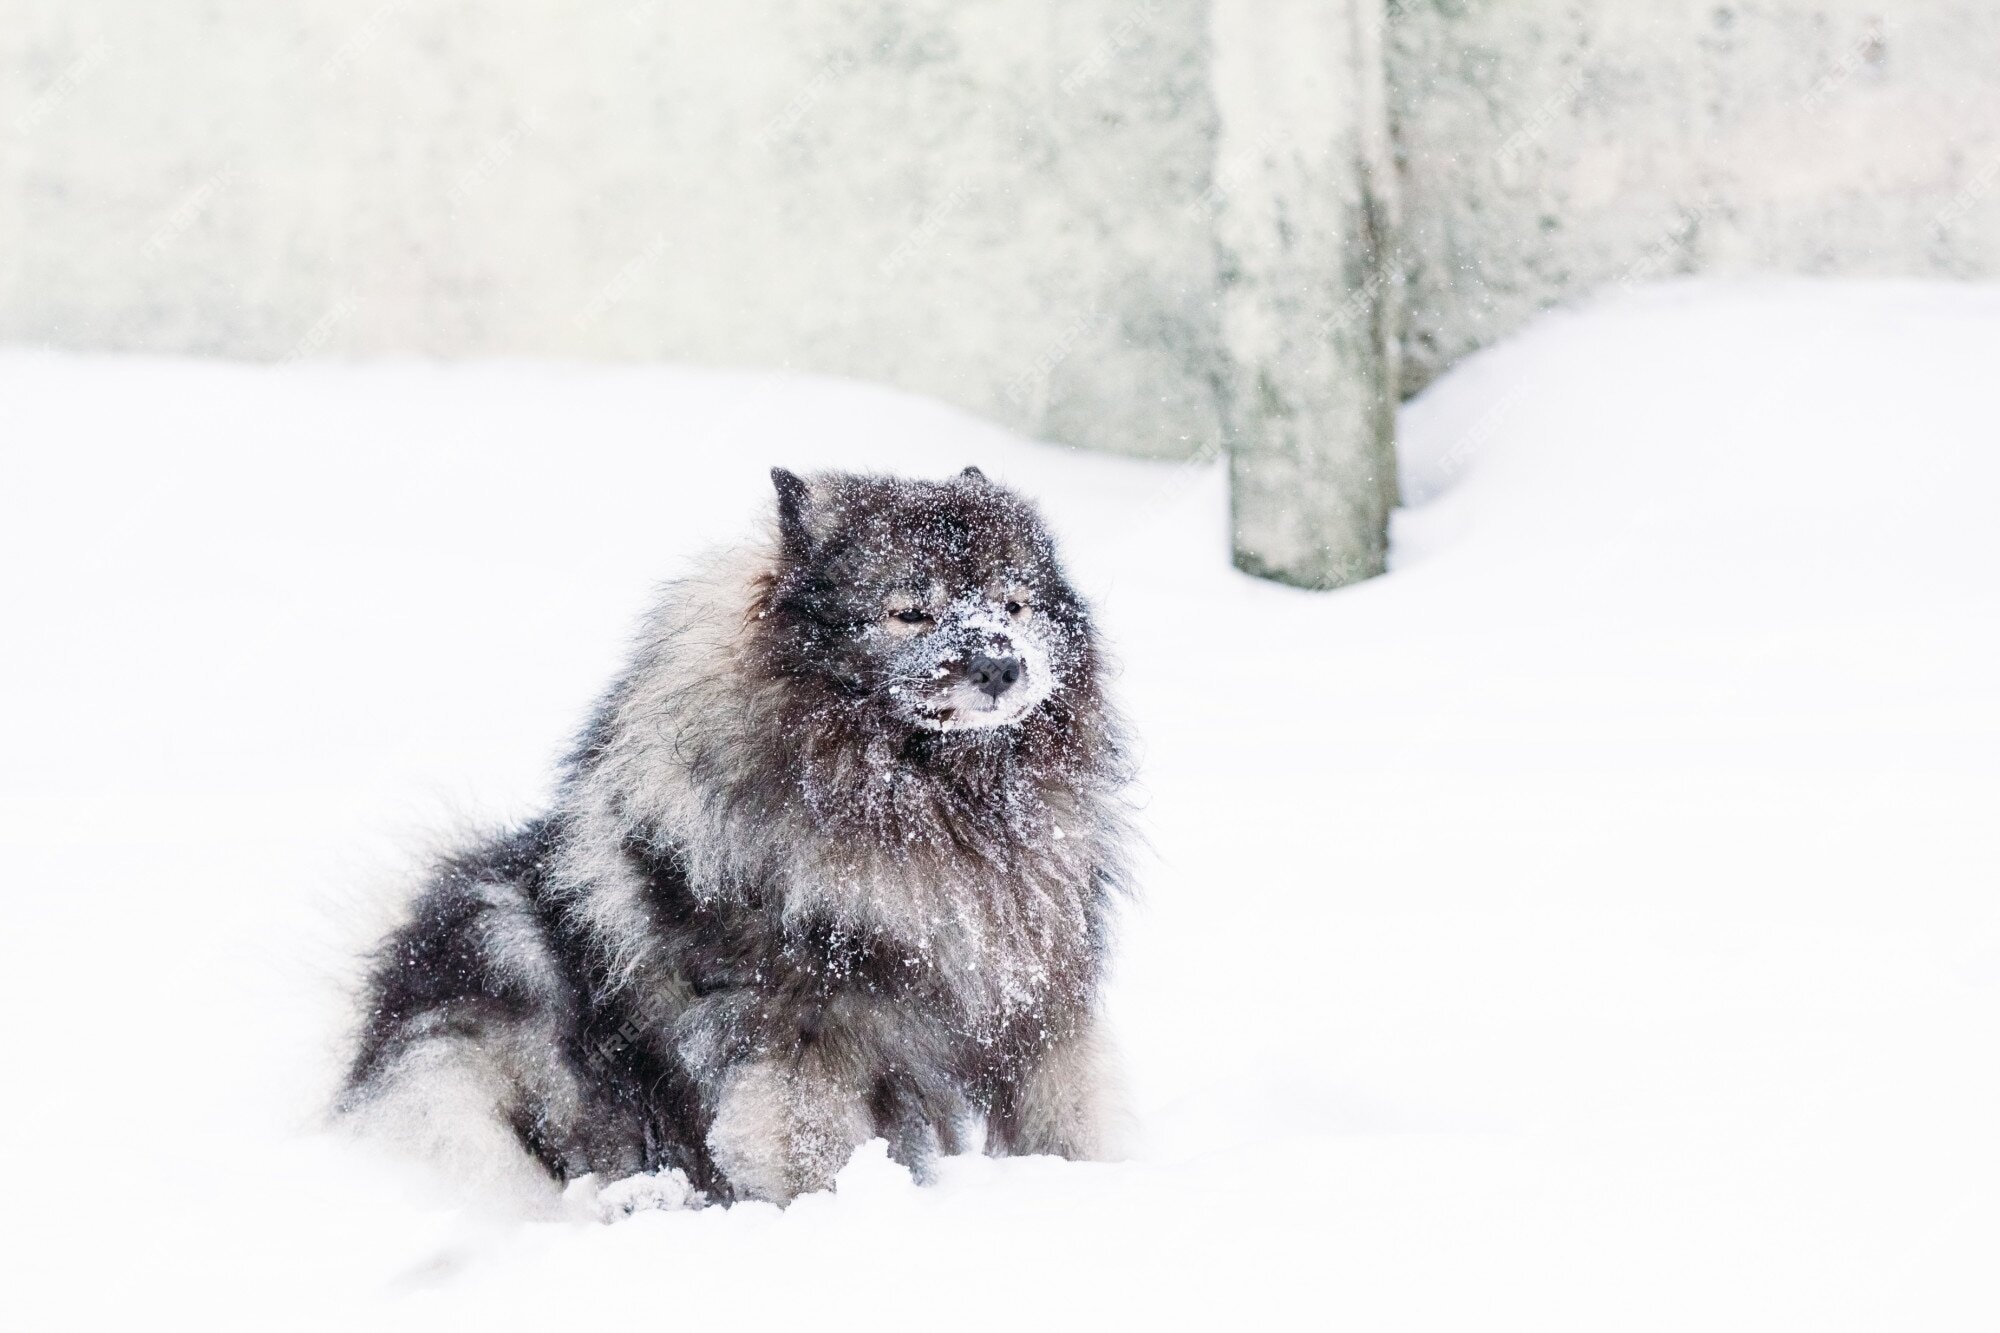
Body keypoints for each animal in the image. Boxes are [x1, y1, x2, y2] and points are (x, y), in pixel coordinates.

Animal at [336, 466, 1136, 1200]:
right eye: (910, 611)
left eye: (1014, 603)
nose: (1002, 665)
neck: (934, 807)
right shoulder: (799, 1044)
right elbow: (812, 1154)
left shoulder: (1038, 1012)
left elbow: (1067, 1119)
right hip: (507, 988)